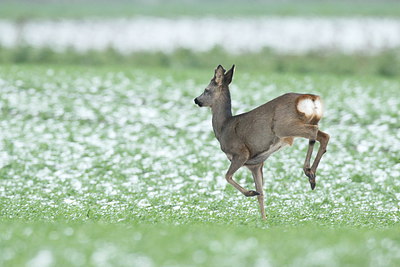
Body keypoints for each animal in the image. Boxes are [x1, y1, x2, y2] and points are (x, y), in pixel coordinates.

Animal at [195, 65, 330, 220]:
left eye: (206, 90)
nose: (196, 100)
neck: (223, 127)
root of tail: (311, 98)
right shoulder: (256, 164)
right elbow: (262, 194)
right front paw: (264, 219)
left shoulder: (241, 153)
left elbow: (227, 176)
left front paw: (250, 192)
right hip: (306, 122)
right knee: (324, 136)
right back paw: (312, 177)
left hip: (283, 127)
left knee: (313, 132)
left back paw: (309, 172)